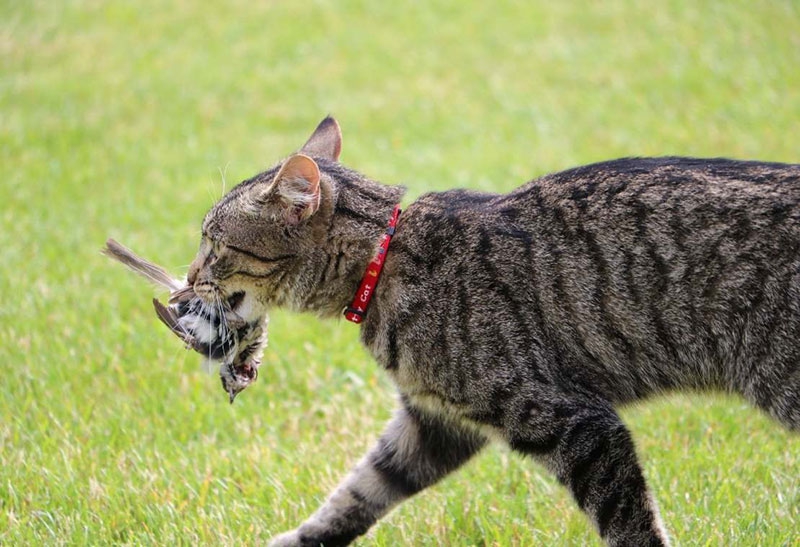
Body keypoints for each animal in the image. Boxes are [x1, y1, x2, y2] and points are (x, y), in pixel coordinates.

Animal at [181, 117, 800, 544]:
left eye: (213, 244)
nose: (187, 278)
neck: (387, 259)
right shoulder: (433, 424)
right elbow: (358, 492)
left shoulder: (576, 423)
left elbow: (631, 525)